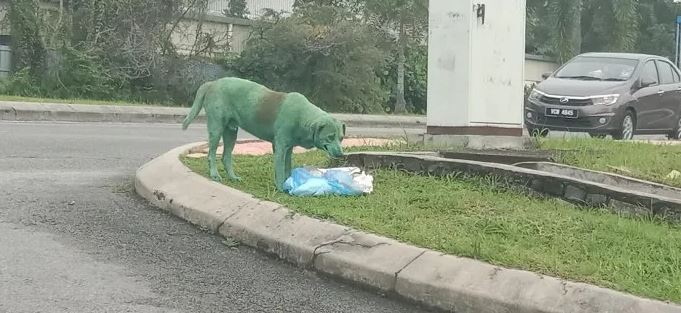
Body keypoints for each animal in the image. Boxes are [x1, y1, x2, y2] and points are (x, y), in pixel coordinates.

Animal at [181, 77, 346, 190]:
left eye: (341, 138)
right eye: (330, 137)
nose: (341, 154)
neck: (302, 117)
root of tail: (212, 83)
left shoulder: (289, 149)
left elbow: (287, 167)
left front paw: (289, 183)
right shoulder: (280, 147)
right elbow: (279, 169)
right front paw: (281, 187)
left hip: (231, 132)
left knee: (226, 156)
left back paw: (233, 177)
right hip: (216, 127)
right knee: (211, 154)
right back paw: (214, 174)